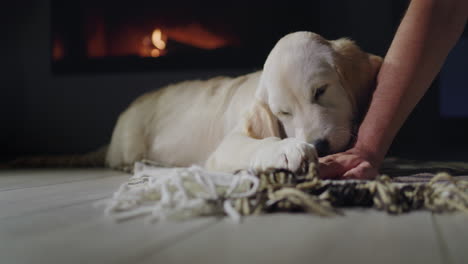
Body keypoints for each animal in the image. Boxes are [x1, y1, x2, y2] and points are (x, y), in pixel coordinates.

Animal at [106, 32, 380, 172]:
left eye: (320, 91)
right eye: (284, 113)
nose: (319, 146)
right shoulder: (226, 146)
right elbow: (259, 142)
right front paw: (285, 149)